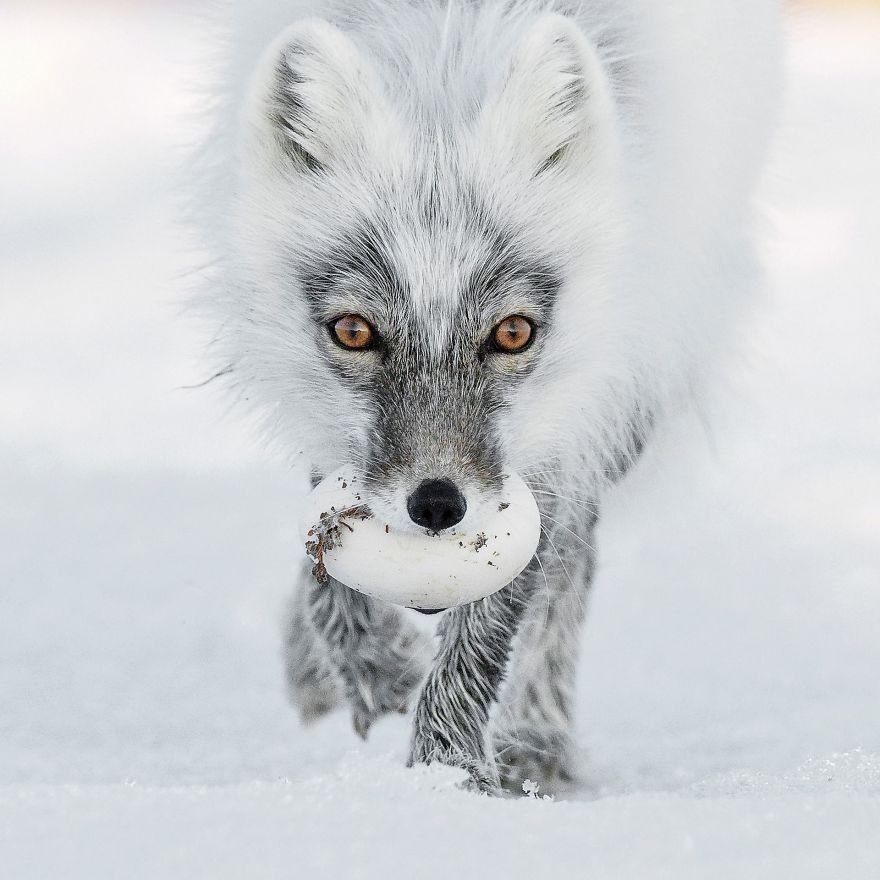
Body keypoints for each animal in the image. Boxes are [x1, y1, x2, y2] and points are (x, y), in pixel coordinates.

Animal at [198, 0, 776, 796]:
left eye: (512, 332)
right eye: (354, 331)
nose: (438, 505)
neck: (444, 62)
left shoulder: (561, 435)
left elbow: (494, 623)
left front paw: (448, 779)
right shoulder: (326, 423)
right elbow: (328, 567)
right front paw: (376, 671)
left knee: (571, 566)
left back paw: (536, 740)